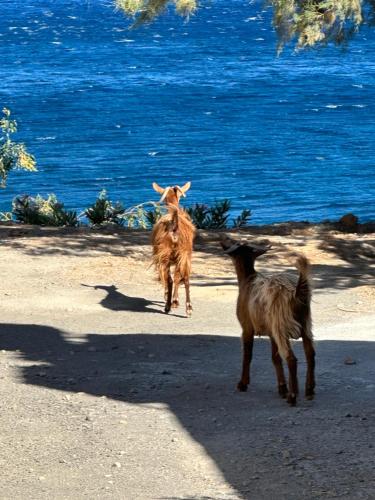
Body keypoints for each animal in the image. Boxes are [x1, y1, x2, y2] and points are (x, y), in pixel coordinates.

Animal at [151, 183, 197, 316]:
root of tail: (174, 225)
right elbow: (178, 276)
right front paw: (175, 301)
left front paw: (171, 299)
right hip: (185, 254)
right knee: (185, 278)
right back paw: (189, 308)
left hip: (164, 255)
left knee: (169, 279)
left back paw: (167, 306)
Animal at [222, 236, 316, 404]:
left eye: (233, 242)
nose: (223, 240)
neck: (247, 280)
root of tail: (296, 293)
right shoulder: (271, 333)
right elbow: (275, 358)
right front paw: (282, 388)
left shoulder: (247, 327)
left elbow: (247, 354)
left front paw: (242, 384)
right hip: (304, 324)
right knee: (310, 355)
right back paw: (309, 390)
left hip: (281, 325)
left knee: (291, 358)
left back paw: (293, 397)